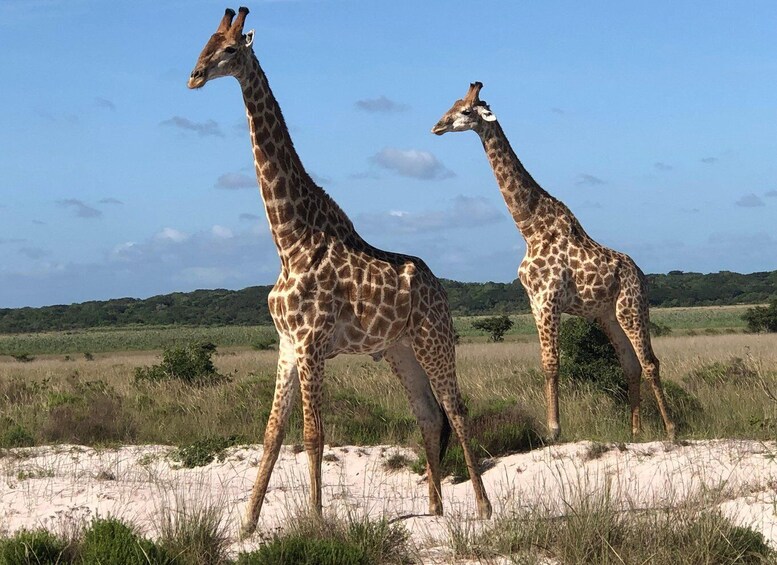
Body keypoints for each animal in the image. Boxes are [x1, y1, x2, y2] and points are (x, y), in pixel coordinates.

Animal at [188, 7, 492, 532]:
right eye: (203, 43)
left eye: (227, 49)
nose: (194, 75)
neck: (289, 240)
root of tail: (440, 287)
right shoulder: (287, 344)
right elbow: (271, 434)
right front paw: (247, 522)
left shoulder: (311, 343)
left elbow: (313, 435)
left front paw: (314, 520)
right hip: (399, 351)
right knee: (429, 415)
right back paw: (434, 509)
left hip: (434, 340)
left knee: (456, 409)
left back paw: (483, 507)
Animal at [430, 81, 672, 440]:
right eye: (452, 104)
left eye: (466, 111)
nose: (437, 126)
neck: (529, 228)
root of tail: (642, 275)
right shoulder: (533, 300)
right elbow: (545, 362)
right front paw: (554, 427)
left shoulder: (549, 298)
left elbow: (552, 363)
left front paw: (555, 429)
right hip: (608, 316)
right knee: (631, 365)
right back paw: (635, 432)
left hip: (632, 308)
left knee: (650, 362)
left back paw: (670, 429)